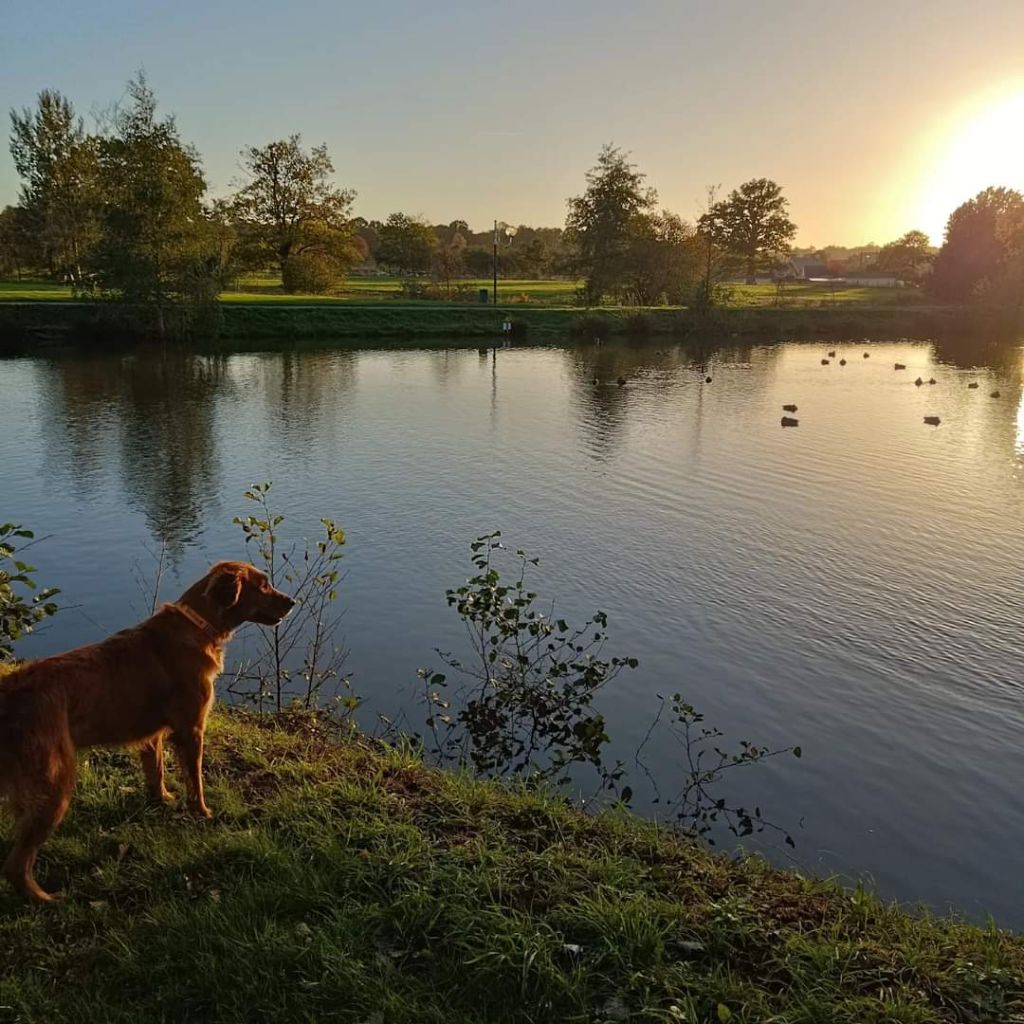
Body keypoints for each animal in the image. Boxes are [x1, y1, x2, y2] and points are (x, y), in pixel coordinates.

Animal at [1, 561, 296, 905]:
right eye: (262, 585)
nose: (292, 602)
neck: (197, 627)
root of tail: (8, 693)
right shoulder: (192, 729)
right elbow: (195, 779)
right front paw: (202, 812)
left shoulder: (152, 735)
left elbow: (156, 772)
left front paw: (162, 799)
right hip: (55, 786)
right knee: (16, 864)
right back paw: (45, 899)